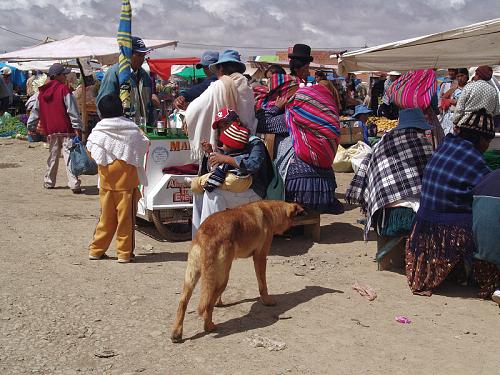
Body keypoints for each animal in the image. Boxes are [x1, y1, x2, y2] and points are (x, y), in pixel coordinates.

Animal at [171, 201, 304, 342]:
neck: (269, 210)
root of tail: (206, 234)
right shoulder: (260, 258)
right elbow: (263, 284)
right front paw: (267, 300)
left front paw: (219, 303)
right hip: (222, 279)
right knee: (208, 304)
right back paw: (209, 326)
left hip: (192, 277)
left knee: (183, 302)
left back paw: (176, 332)